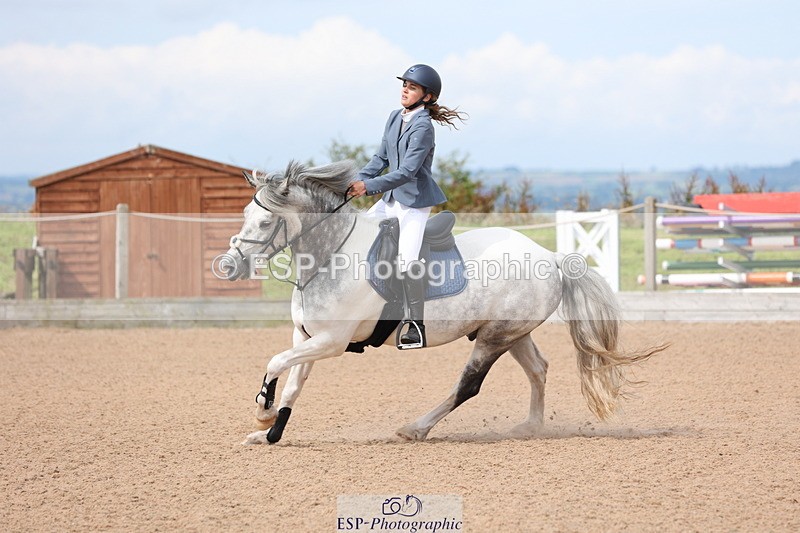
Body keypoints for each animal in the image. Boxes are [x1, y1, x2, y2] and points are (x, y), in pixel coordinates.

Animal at [217, 160, 665, 445]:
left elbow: (276, 362)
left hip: (493, 338)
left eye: (263, 222)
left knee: (469, 384)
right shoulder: (307, 336)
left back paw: (416, 428)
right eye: (244, 216)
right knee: (538, 369)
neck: (331, 256)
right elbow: (292, 381)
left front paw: (262, 413)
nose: (228, 265)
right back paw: (530, 427)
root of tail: (550, 256)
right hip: (511, 331)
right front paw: (270, 432)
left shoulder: (332, 341)